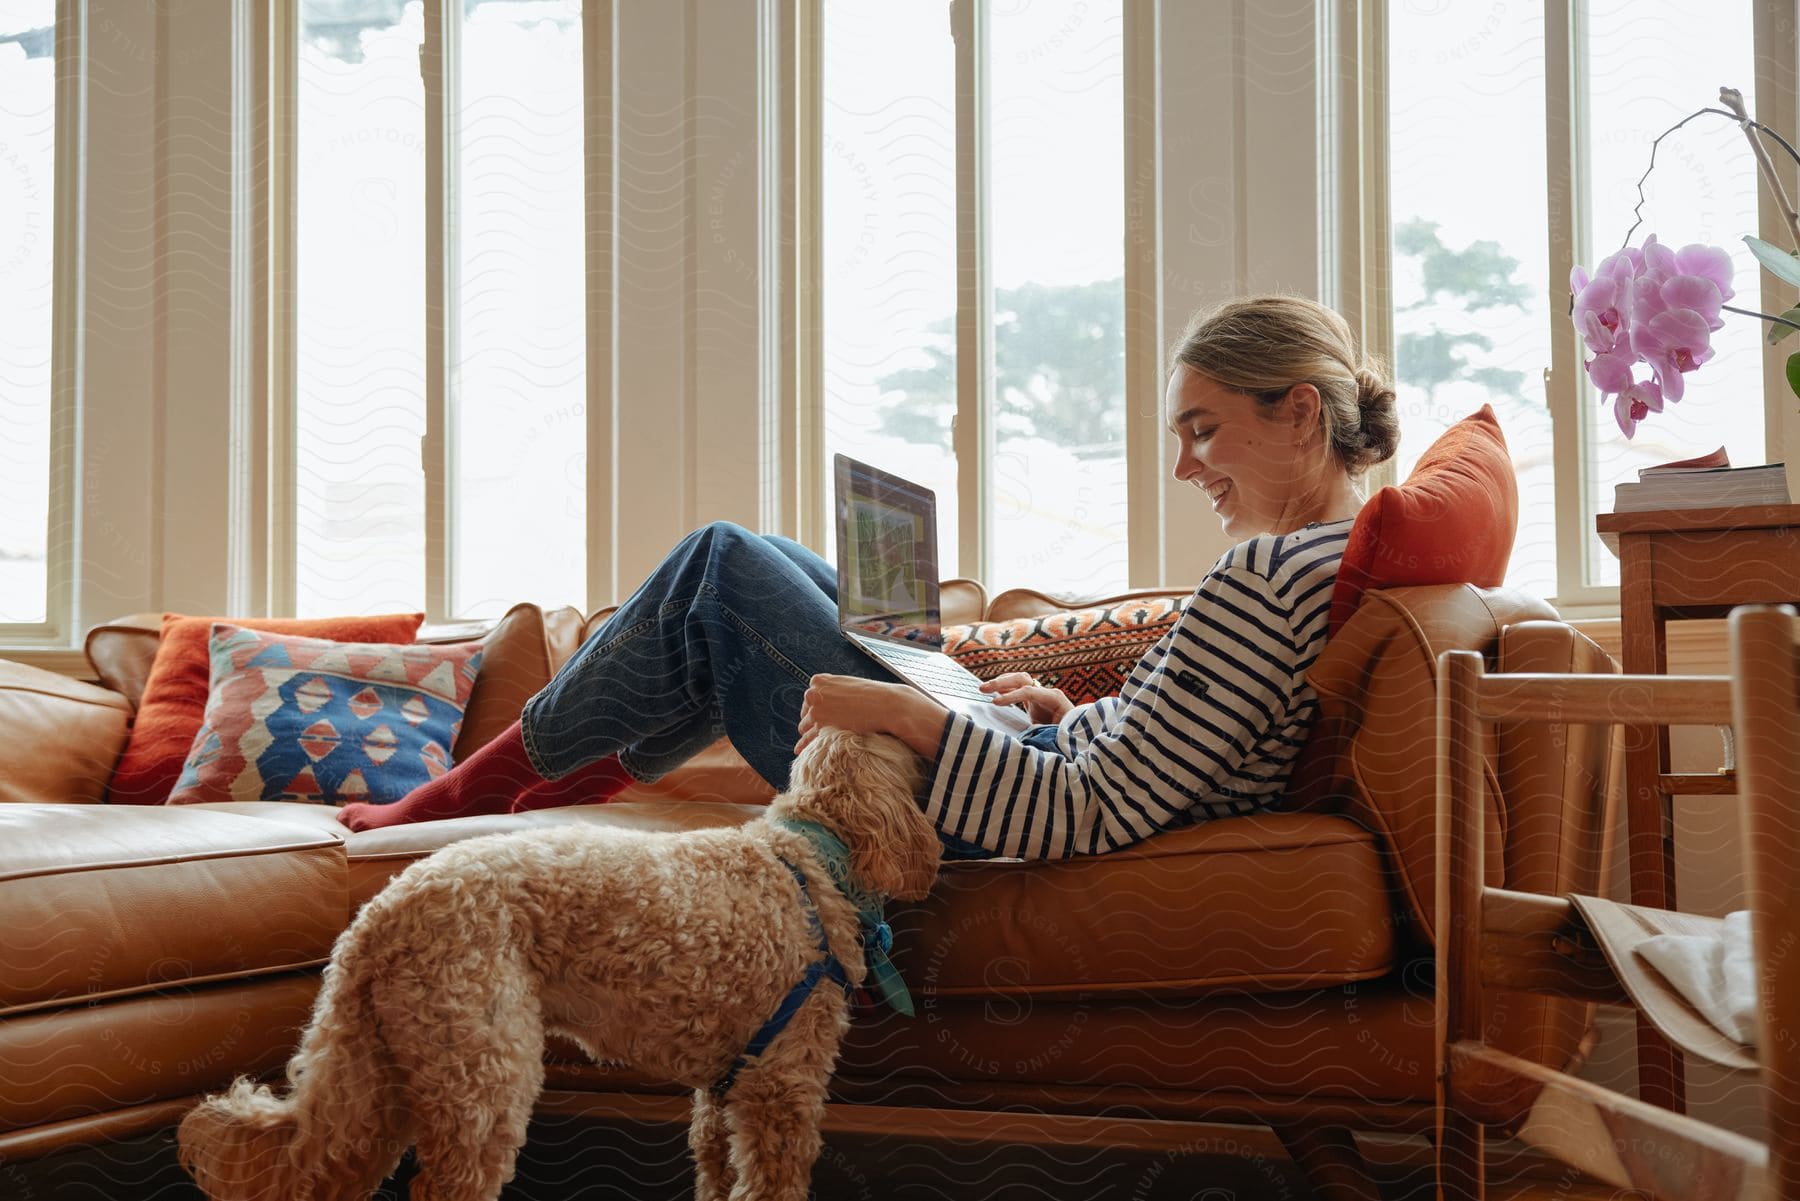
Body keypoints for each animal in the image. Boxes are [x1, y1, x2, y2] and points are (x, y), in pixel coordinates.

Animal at [175, 734, 943, 1201]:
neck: (810, 853)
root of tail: (380, 915)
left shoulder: (722, 1094)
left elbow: (716, 1174)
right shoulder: (781, 1086)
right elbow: (774, 1183)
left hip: (384, 1072)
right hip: (483, 1073)